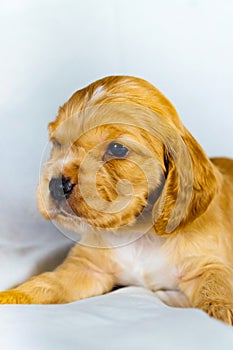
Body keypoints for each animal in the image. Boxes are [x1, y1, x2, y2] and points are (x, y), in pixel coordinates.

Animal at [0, 76, 233, 326]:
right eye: (57, 143)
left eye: (117, 148)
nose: (55, 185)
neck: (139, 234)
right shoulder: (87, 267)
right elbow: (45, 283)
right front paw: (10, 296)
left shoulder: (206, 265)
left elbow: (217, 290)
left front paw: (222, 316)